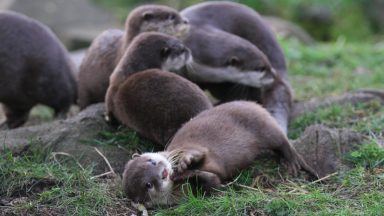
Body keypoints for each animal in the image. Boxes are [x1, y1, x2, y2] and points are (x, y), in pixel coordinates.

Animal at [123, 100, 318, 207]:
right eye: (148, 184)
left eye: (151, 161)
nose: (162, 171)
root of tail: (254, 104)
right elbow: (214, 184)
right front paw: (191, 174)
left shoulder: (190, 147)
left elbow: (197, 154)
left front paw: (186, 163)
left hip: (264, 127)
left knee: (283, 141)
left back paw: (293, 160)